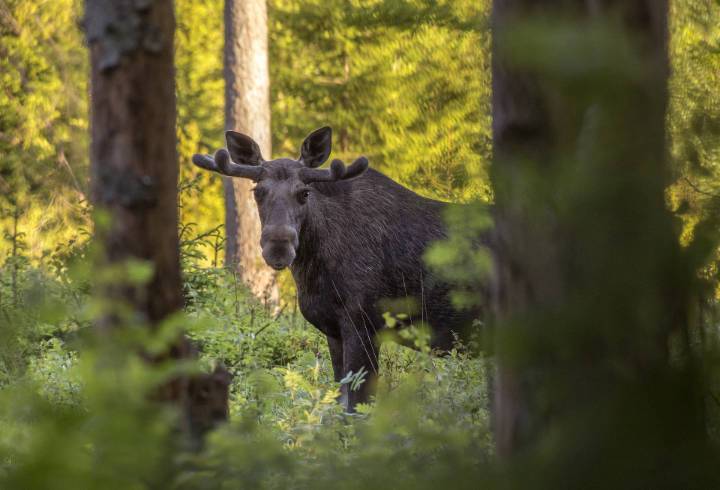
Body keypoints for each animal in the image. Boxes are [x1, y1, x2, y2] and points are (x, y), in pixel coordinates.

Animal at [194, 126, 480, 410]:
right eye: (257, 191)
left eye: (304, 193)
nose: (278, 246)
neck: (314, 274)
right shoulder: (334, 330)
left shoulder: (365, 322)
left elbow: (356, 406)